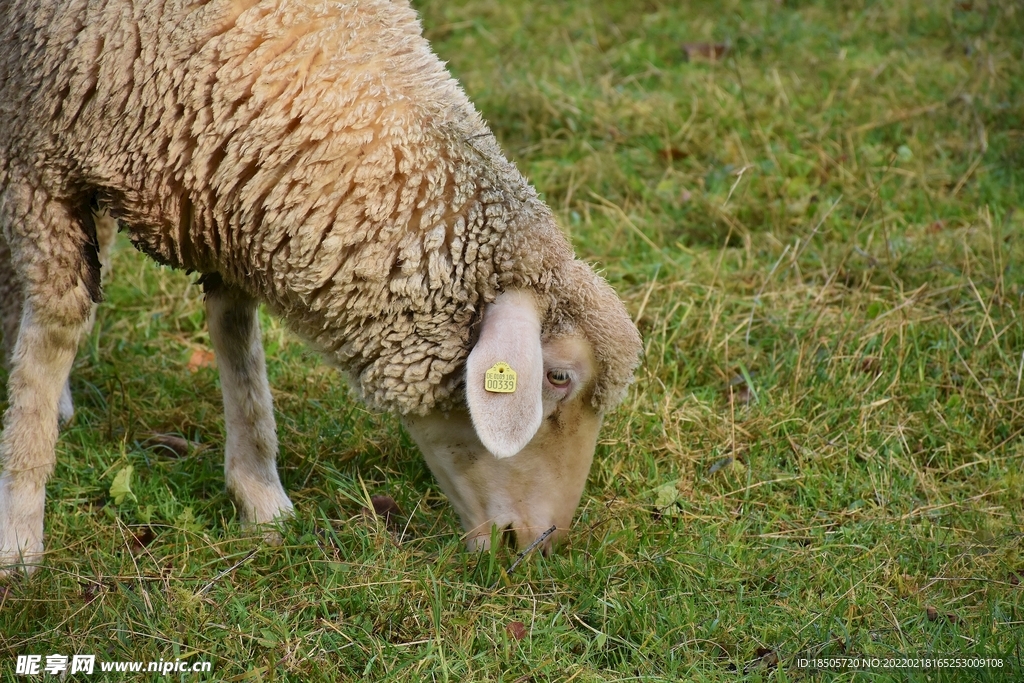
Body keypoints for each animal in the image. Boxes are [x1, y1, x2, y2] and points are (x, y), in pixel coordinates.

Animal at [0, 0, 638, 577]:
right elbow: (54, 331)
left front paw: (262, 499)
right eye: (558, 377)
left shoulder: (225, 194)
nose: (536, 544)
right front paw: (20, 533)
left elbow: (236, 338)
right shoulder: (40, 157)